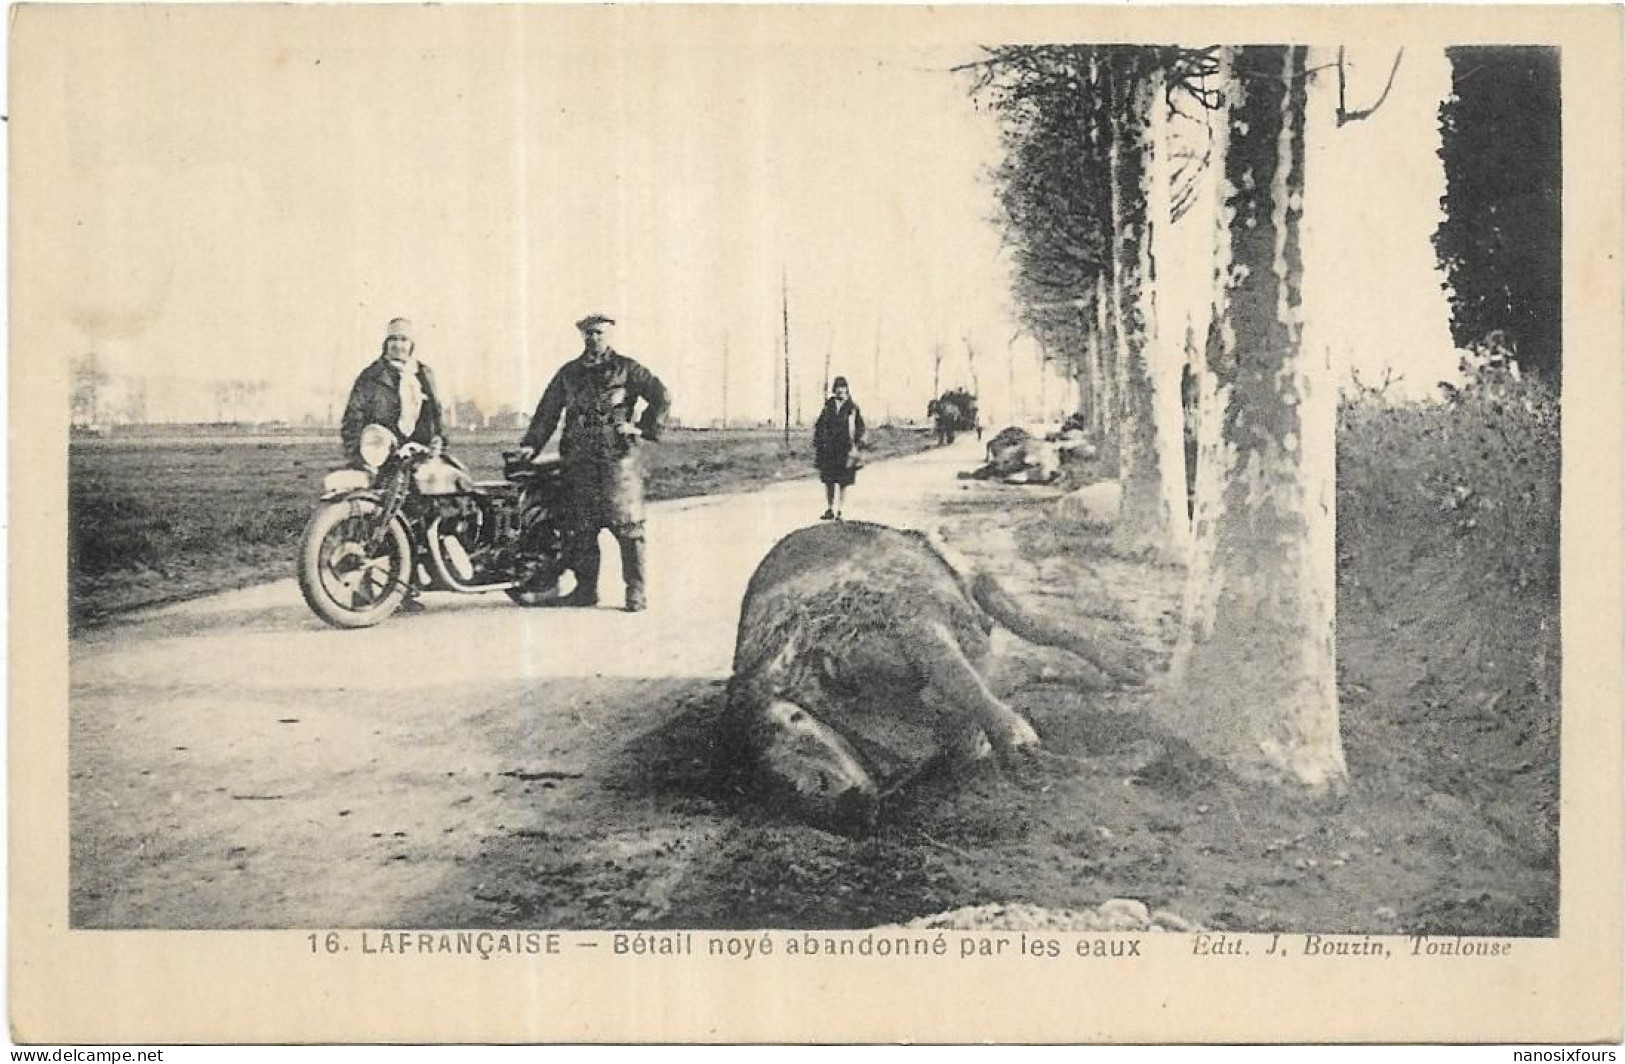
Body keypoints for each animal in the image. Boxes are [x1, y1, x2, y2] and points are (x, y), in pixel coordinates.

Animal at [724, 519, 1131, 828]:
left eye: (795, 722)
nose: (830, 798)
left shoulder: (908, 620)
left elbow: (958, 678)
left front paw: (1022, 744)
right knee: (1025, 652)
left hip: (959, 576)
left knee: (1025, 619)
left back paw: (1130, 663)